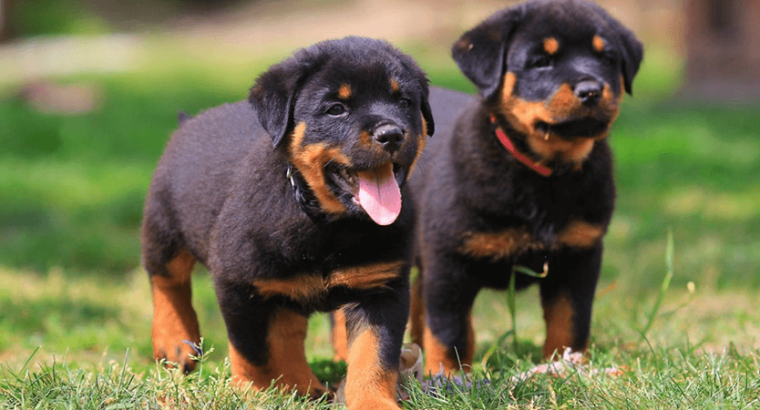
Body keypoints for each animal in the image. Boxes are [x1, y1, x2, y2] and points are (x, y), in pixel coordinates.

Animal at [140, 36, 430, 410]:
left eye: (405, 102)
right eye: (336, 109)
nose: (392, 134)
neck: (330, 224)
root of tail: (188, 123)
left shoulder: (382, 286)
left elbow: (374, 356)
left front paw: (372, 401)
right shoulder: (238, 283)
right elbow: (252, 349)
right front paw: (254, 391)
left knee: (289, 331)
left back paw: (304, 384)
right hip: (163, 226)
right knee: (167, 279)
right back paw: (175, 341)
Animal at [406, 0, 644, 374]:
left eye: (607, 59)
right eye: (540, 61)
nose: (591, 90)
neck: (543, 172)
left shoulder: (579, 256)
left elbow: (570, 321)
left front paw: (565, 367)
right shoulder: (449, 260)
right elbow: (449, 330)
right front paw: (447, 376)